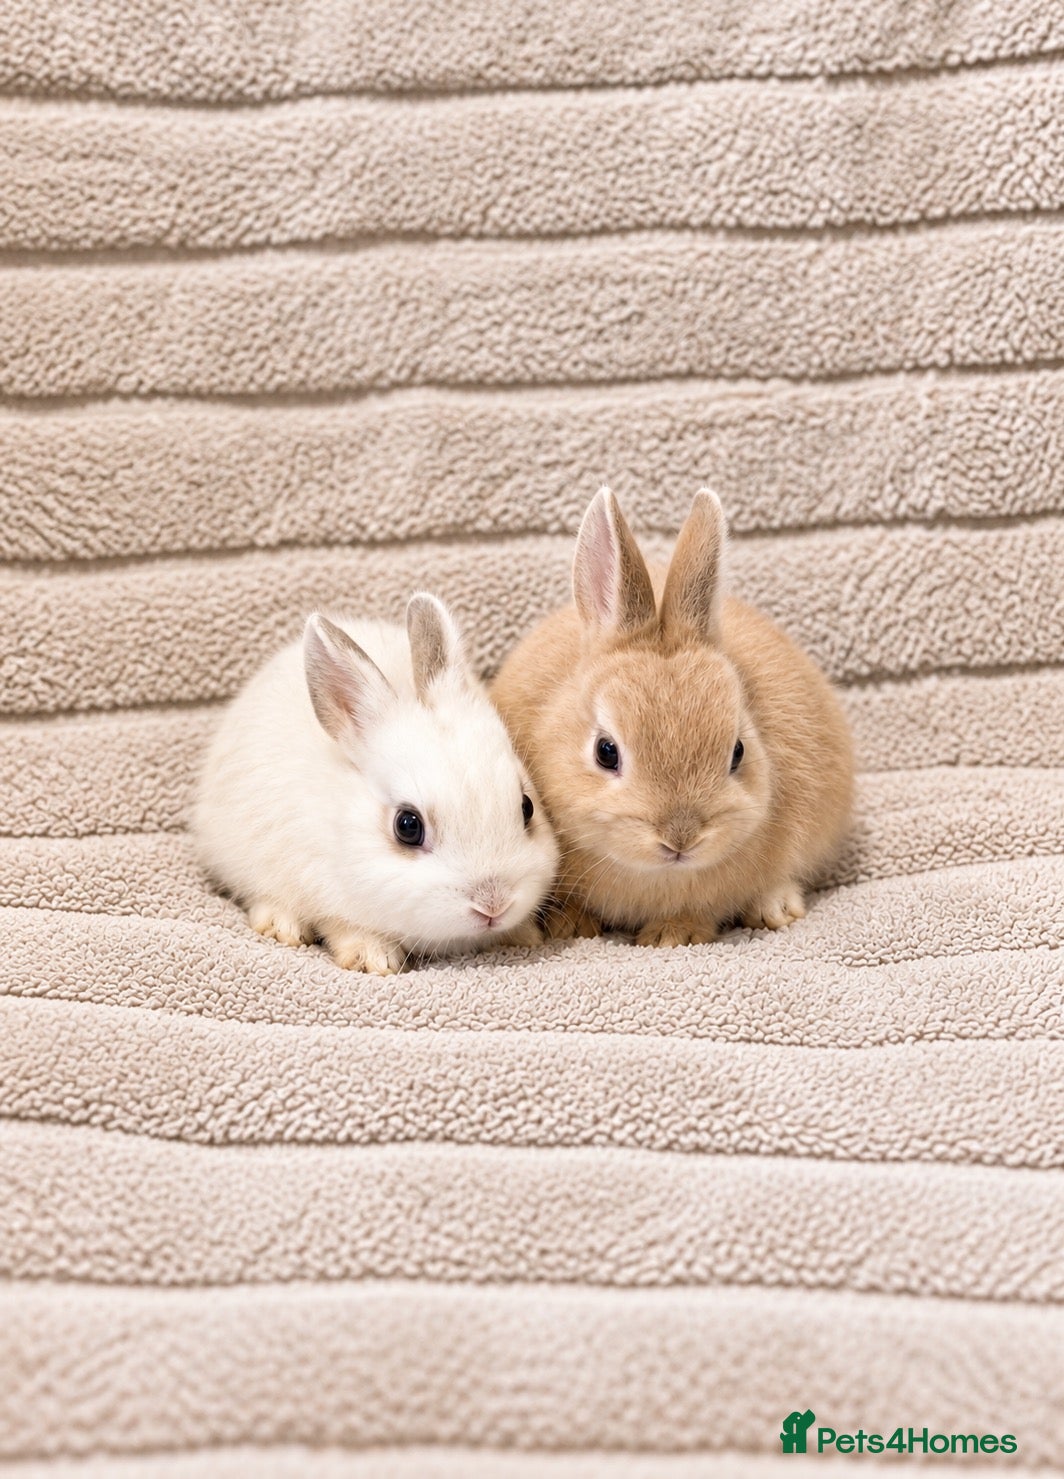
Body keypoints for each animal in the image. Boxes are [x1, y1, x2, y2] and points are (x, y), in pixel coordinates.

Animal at [193, 592, 558, 974]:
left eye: (527, 807)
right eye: (407, 826)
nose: (493, 905)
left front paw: (524, 936)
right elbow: (346, 927)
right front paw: (373, 959)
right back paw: (283, 926)